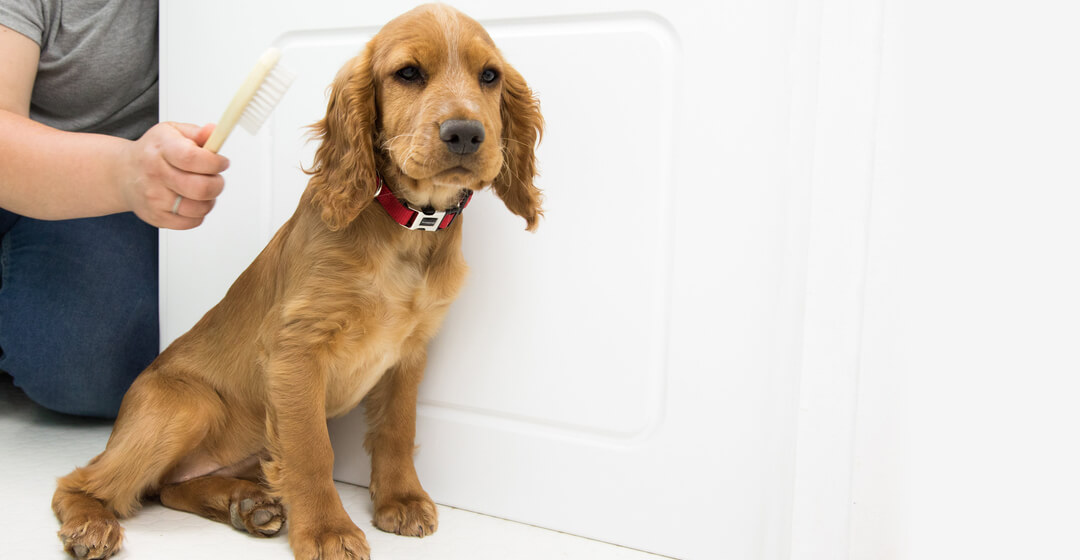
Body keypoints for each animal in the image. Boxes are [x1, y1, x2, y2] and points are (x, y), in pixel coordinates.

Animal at [50, 5, 540, 560]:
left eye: (489, 76)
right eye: (409, 73)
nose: (465, 134)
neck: (409, 225)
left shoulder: (409, 352)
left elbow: (397, 427)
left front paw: (400, 499)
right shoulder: (296, 349)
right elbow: (311, 449)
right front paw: (328, 530)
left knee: (170, 486)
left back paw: (247, 504)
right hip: (186, 405)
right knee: (83, 482)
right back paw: (93, 524)